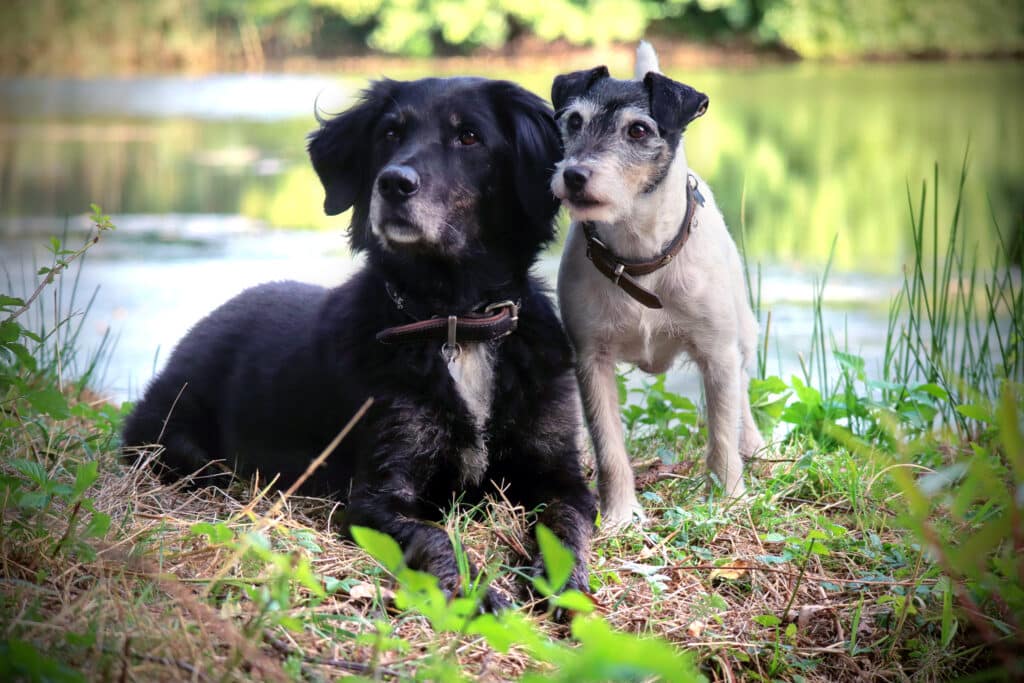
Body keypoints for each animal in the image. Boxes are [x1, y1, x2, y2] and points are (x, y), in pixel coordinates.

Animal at [122, 78, 598, 610]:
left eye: (470, 136)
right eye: (390, 133)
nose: (393, 183)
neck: (456, 323)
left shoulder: (561, 475)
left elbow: (565, 525)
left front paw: (565, 584)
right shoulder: (376, 498)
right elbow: (435, 536)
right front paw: (477, 591)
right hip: (179, 444)